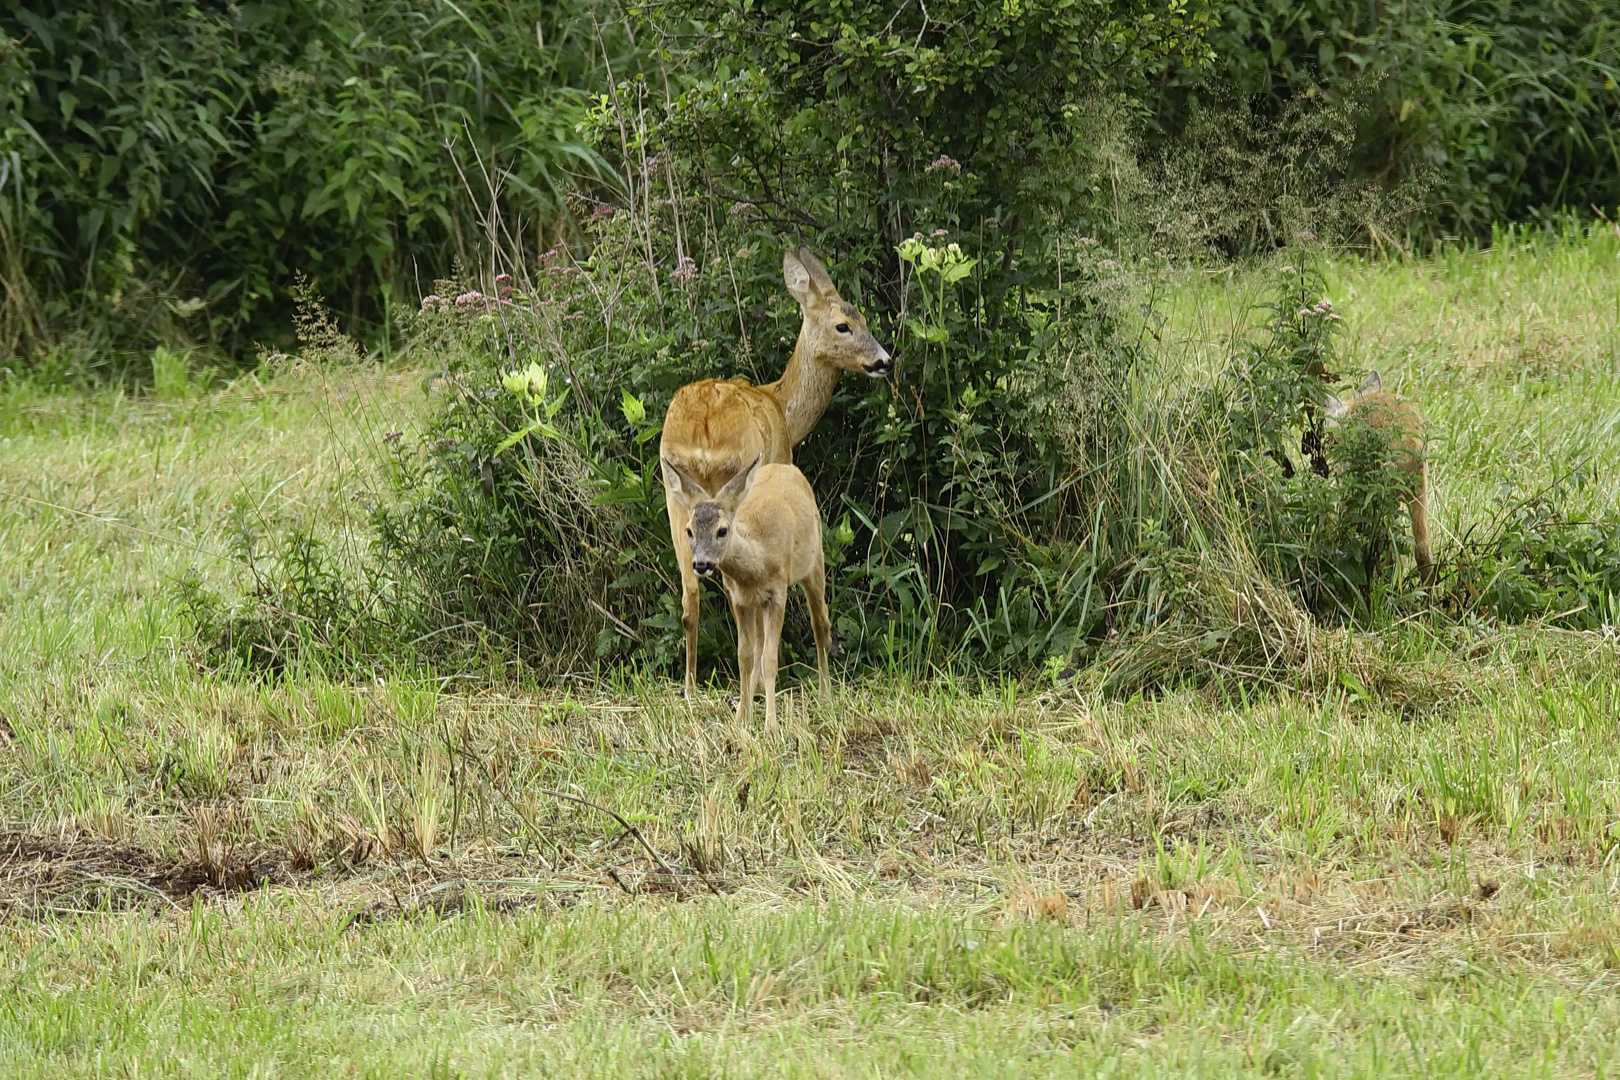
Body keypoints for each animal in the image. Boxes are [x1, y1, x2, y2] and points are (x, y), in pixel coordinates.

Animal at [654, 247, 894, 696]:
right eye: (844, 325)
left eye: (866, 320)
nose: (885, 361)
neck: (782, 407)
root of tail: (703, 428)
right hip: (735, 479)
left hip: (675, 495)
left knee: (689, 596)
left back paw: (691, 691)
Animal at [660, 456, 835, 735]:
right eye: (689, 530)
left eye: (722, 530)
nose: (701, 564)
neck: (757, 562)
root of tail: (786, 467)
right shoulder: (740, 599)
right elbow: (745, 656)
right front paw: (742, 718)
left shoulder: (777, 592)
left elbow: (770, 659)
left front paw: (771, 727)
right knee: (759, 644)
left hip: (815, 561)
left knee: (821, 626)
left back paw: (825, 697)